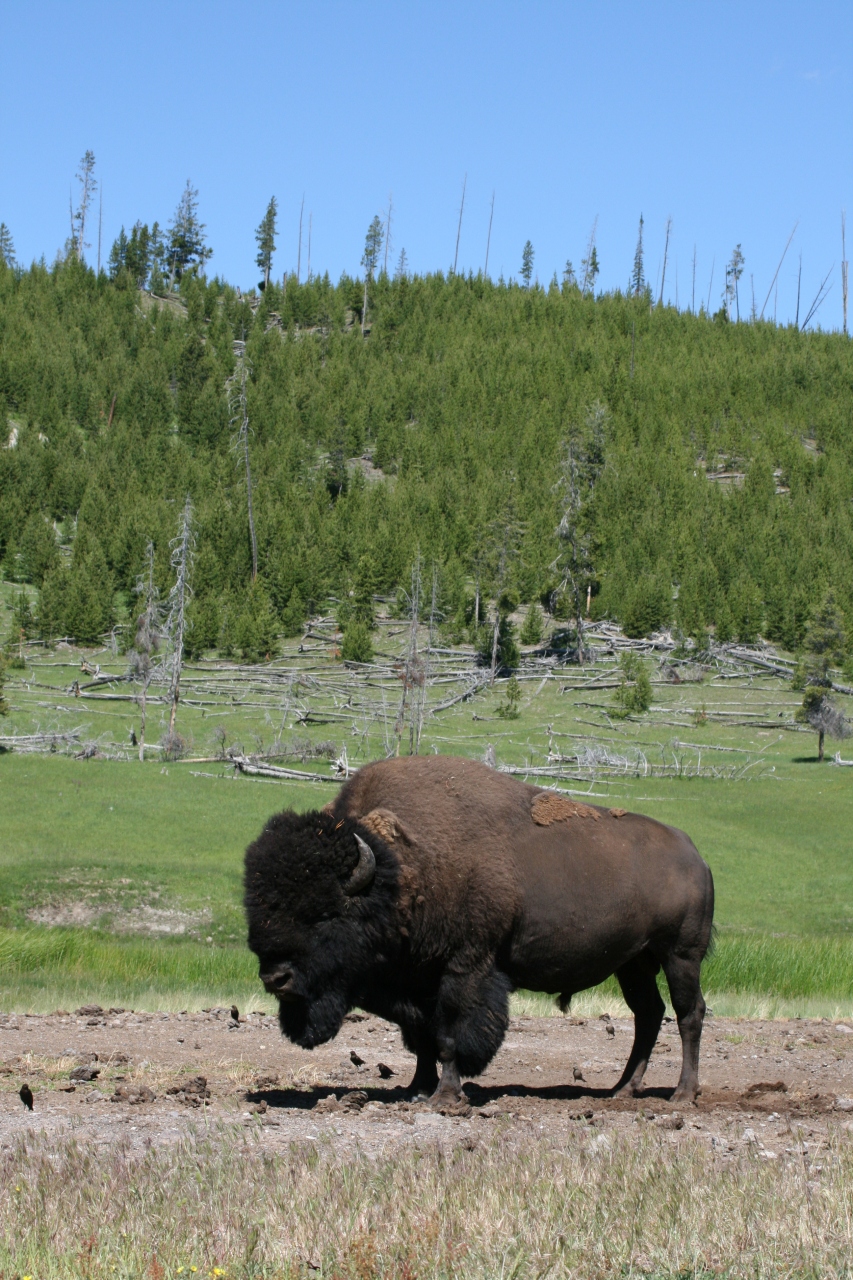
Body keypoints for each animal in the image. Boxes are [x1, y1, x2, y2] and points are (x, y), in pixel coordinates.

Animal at [244, 752, 712, 1105]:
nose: (275, 977)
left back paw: (682, 1095)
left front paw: (447, 1096)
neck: (401, 870)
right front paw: (418, 1088)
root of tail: (694, 856)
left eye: (324, 914)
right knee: (648, 1015)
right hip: (634, 963)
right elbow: (421, 1035)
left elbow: (450, 1031)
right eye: (257, 907)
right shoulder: (413, 981)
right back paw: (622, 1090)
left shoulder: (465, 965)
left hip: (680, 955)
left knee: (688, 1013)